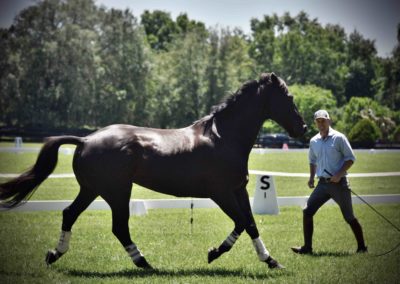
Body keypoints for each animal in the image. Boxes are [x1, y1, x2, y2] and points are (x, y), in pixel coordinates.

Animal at [0, 72, 306, 270]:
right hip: (116, 192)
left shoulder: (238, 189)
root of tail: (86, 139)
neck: (222, 137)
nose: (302, 128)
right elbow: (241, 223)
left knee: (70, 214)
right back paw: (144, 263)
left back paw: (55, 254)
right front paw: (213, 254)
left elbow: (251, 224)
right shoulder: (220, 193)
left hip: (92, 190)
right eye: (288, 97)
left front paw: (271, 261)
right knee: (119, 227)